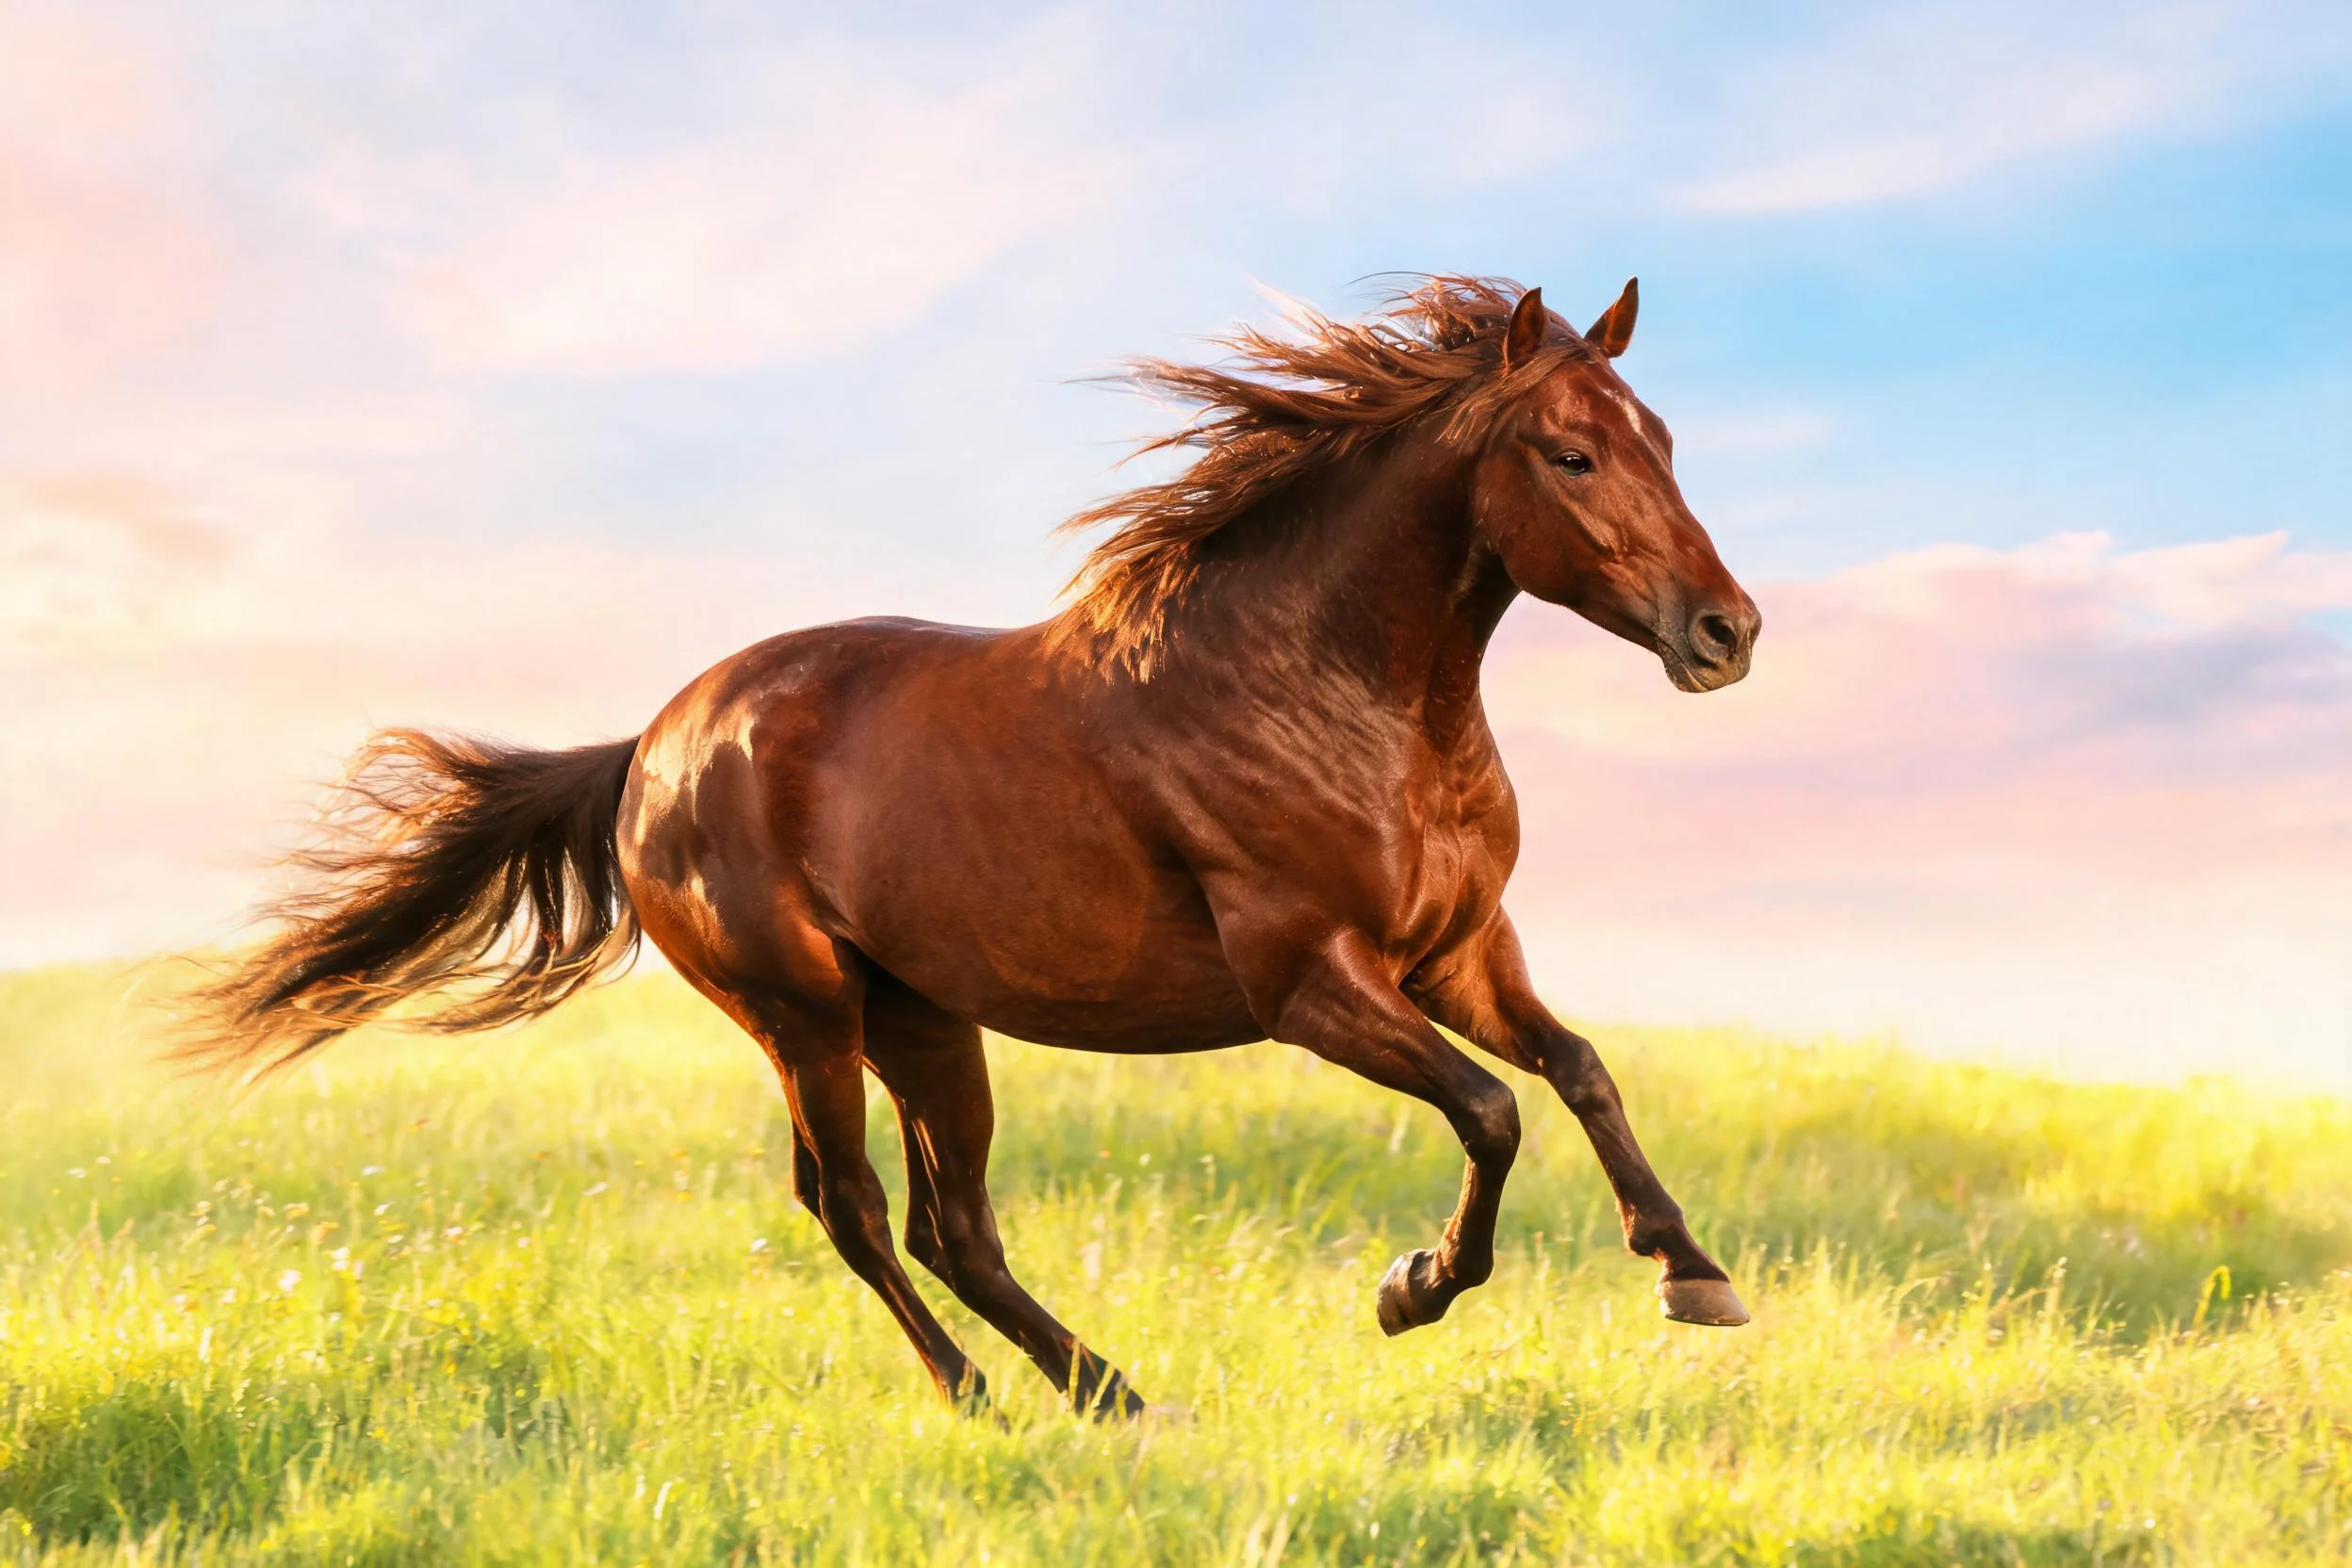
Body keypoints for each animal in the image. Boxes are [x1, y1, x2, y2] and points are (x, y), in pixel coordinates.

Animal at [189, 276, 1761, 1418]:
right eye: (1570, 453)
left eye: (1666, 439)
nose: (1726, 633)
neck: (1338, 697)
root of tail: (653, 746)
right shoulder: (1307, 979)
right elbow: (1491, 1112)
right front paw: (1413, 1287)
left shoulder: (1462, 951)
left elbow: (1579, 1072)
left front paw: (1693, 1273)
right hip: (805, 1013)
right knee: (855, 1207)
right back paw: (982, 1398)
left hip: (925, 1018)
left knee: (958, 1225)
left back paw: (1116, 1399)